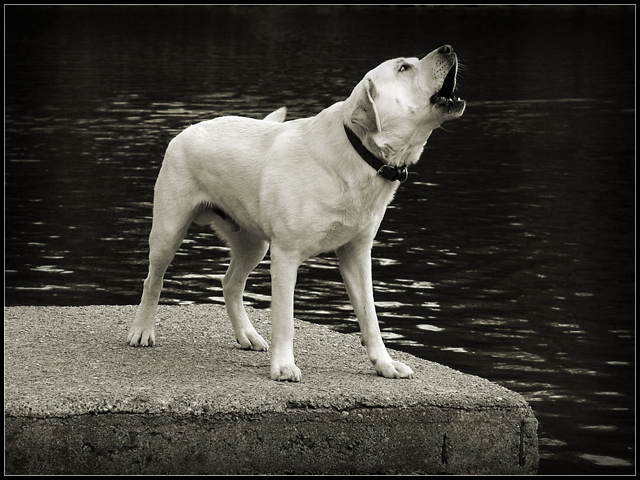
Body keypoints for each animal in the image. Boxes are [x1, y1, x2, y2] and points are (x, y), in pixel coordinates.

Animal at [127, 46, 464, 382]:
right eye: (404, 68)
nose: (448, 48)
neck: (361, 154)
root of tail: (189, 127)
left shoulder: (356, 253)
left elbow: (370, 317)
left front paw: (385, 364)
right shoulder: (286, 255)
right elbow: (285, 319)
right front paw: (284, 367)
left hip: (253, 244)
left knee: (230, 283)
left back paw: (247, 335)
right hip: (169, 230)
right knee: (153, 280)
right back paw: (142, 331)